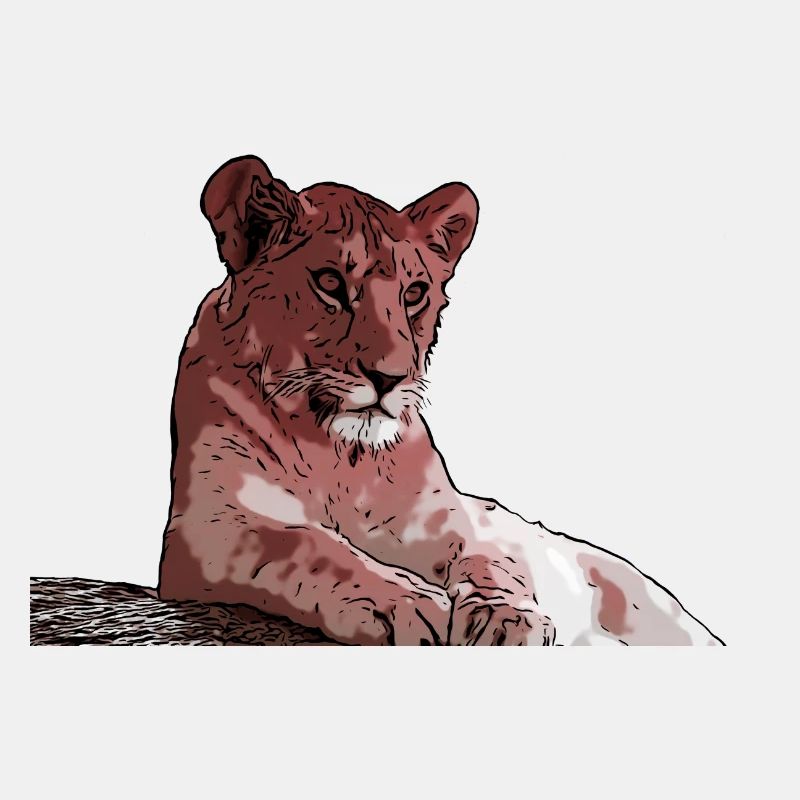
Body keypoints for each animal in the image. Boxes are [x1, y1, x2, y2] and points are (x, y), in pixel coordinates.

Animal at [158, 155, 722, 645]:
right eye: (330, 283)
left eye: (414, 294)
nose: (389, 378)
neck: (340, 458)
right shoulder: (211, 525)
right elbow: (306, 543)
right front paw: (405, 604)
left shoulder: (451, 519)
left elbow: (493, 560)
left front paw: (507, 618)